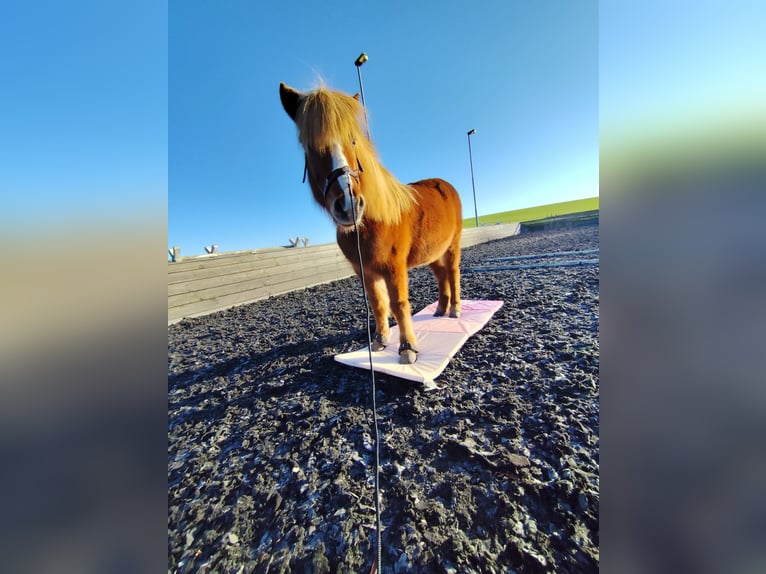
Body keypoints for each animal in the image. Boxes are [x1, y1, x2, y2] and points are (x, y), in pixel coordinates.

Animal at [279, 82, 463, 364]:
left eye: (353, 140)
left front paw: (407, 349)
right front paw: (379, 341)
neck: (370, 224)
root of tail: (445, 185)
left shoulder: (394, 268)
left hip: (453, 246)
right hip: (433, 253)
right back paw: (440, 309)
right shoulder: (364, 270)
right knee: (442, 275)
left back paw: (454, 310)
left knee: (452, 273)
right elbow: (377, 302)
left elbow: (398, 303)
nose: (349, 204)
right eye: (309, 147)